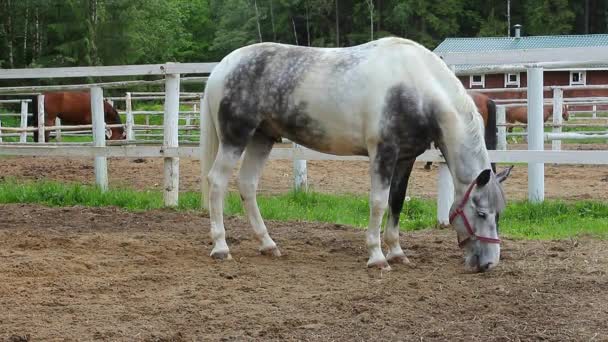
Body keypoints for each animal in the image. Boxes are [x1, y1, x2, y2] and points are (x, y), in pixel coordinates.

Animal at [202, 37, 510, 272]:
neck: (416, 86)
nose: (489, 263)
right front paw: (377, 256)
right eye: (481, 212)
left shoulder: (406, 158)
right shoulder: (383, 153)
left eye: (499, 214)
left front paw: (397, 252)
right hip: (235, 138)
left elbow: (396, 202)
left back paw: (268, 244)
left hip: (261, 138)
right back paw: (221, 247)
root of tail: (223, 67)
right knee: (216, 182)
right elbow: (378, 202)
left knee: (247, 185)